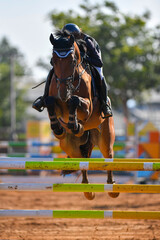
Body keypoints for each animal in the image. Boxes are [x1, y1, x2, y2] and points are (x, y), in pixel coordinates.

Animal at [44, 31, 119, 201]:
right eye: (53, 60)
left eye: (72, 61)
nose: (63, 92)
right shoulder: (55, 102)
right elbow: (50, 102)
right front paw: (58, 128)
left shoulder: (88, 108)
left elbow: (75, 101)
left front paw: (75, 124)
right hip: (69, 146)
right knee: (82, 160)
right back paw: (87, 189)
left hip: (105, 135)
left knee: (108, 156)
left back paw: (111, 188)